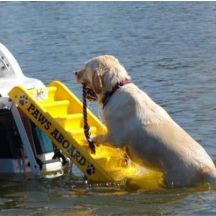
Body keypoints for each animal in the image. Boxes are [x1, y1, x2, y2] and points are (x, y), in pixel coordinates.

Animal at [75, 55, 216, 187]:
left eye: (85, 67)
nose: (75, 73)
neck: (116, 88)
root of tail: (207, 169)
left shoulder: (116, 137)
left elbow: (100, 137)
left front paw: (89, 140)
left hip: (177, 178)